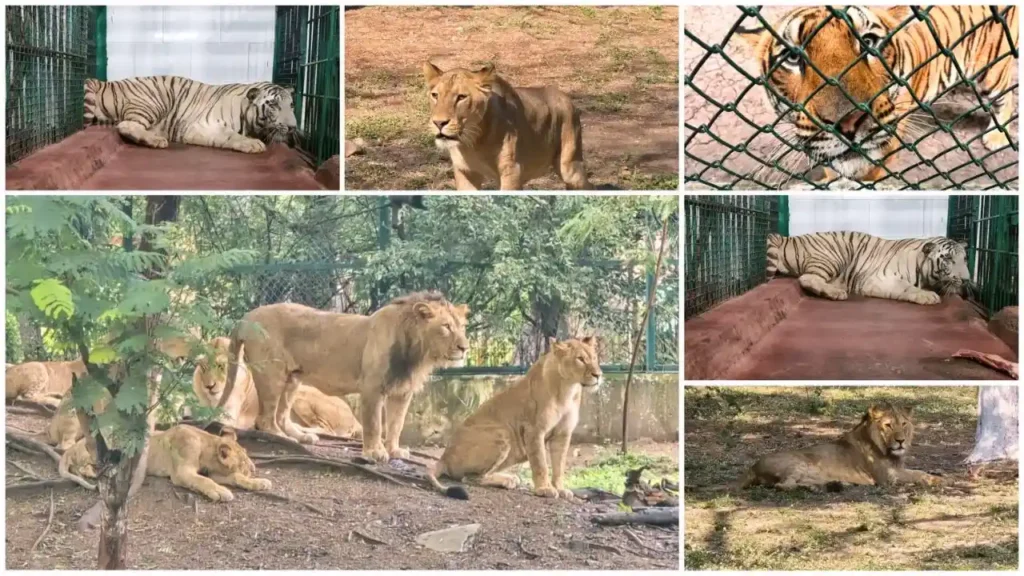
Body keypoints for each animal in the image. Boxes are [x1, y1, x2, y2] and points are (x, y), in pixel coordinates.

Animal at [83, 75, 299, 154]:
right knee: (125, 125)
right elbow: (230, 135)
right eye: (273, 105)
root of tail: (109, 83)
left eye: (291, 105)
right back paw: (155, 140)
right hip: (155, 99)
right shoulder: (203, 126)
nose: (293, 127)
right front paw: (253, 144)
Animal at [738, 6, 1018, 184]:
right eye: (792, 57)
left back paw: (995, 136)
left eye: (869, 43)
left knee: (1007, 98)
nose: (848, 123)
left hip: (991, 73)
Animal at [766, 231, 971, 305]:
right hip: (834, 254)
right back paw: (834, 292)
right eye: (948, 259)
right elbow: (905, 287)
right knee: (807, 278)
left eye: (964, 259)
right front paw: (927, 296)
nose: (967, 279)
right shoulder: (878, 279)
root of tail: (788, 238)